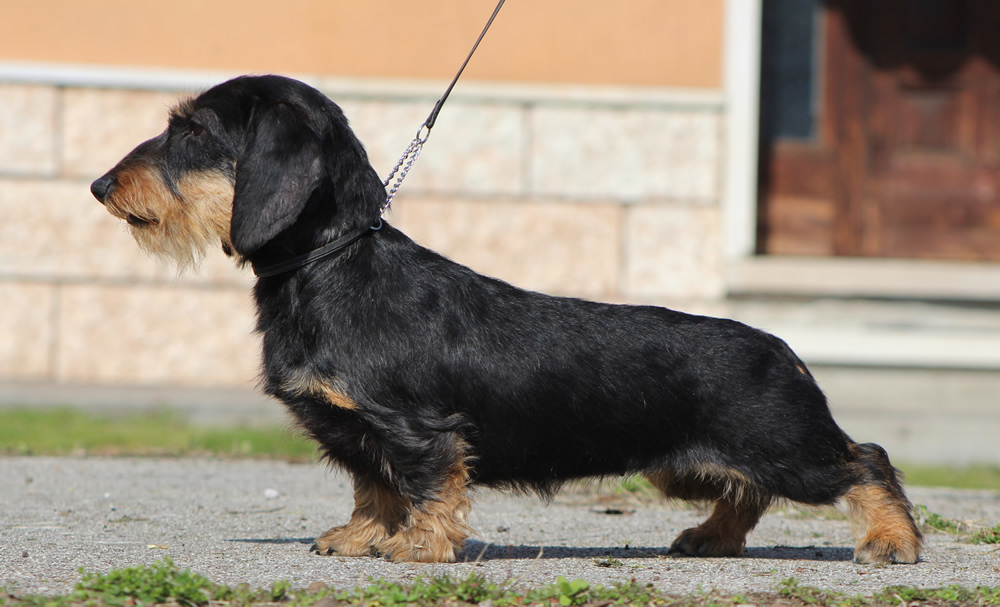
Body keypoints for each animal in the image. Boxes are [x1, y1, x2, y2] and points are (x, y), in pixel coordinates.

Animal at [90, 75, 924, 564]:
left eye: (194, 131)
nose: (100, 185)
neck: (332, 265)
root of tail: (782, 346)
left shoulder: (416, 428)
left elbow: (426, 485)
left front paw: (418, 547)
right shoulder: (359, 432)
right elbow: (372, 487)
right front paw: (362, 536)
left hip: (787, 448)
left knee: (867, 460)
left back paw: (890, 540)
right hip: (687, 463)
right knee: (747, 492)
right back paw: (710, 538)